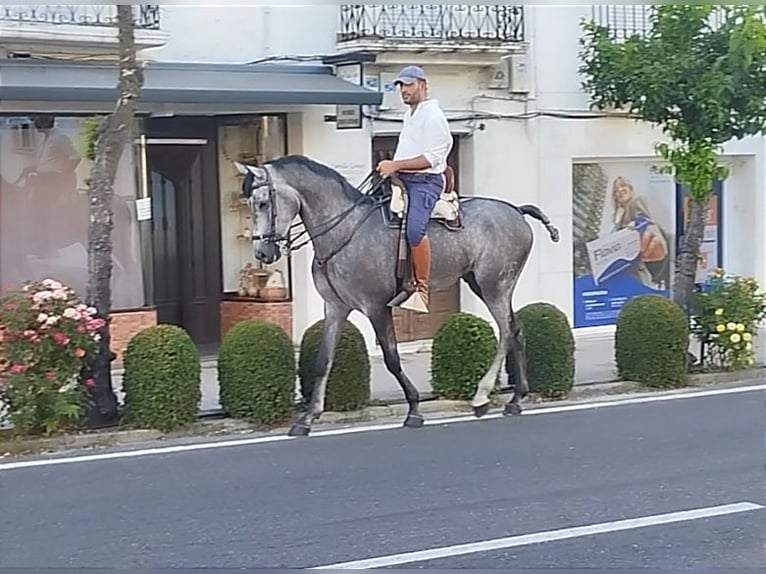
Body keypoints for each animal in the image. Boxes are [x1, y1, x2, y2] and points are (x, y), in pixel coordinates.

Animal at [232, 155, 560, 438]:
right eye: (249, 203)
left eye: (262, 202)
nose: (262, 253)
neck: (344, 230)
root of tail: (516, 210)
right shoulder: (335, 307)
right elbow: (323, 360)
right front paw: (308, 417)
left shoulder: (376, 307)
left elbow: (391, 357)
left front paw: (414, 407)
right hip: (482, 284)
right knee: (517, 330)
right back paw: (516, 398)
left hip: (494, 286)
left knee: (506, 332)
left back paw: (482, 396)